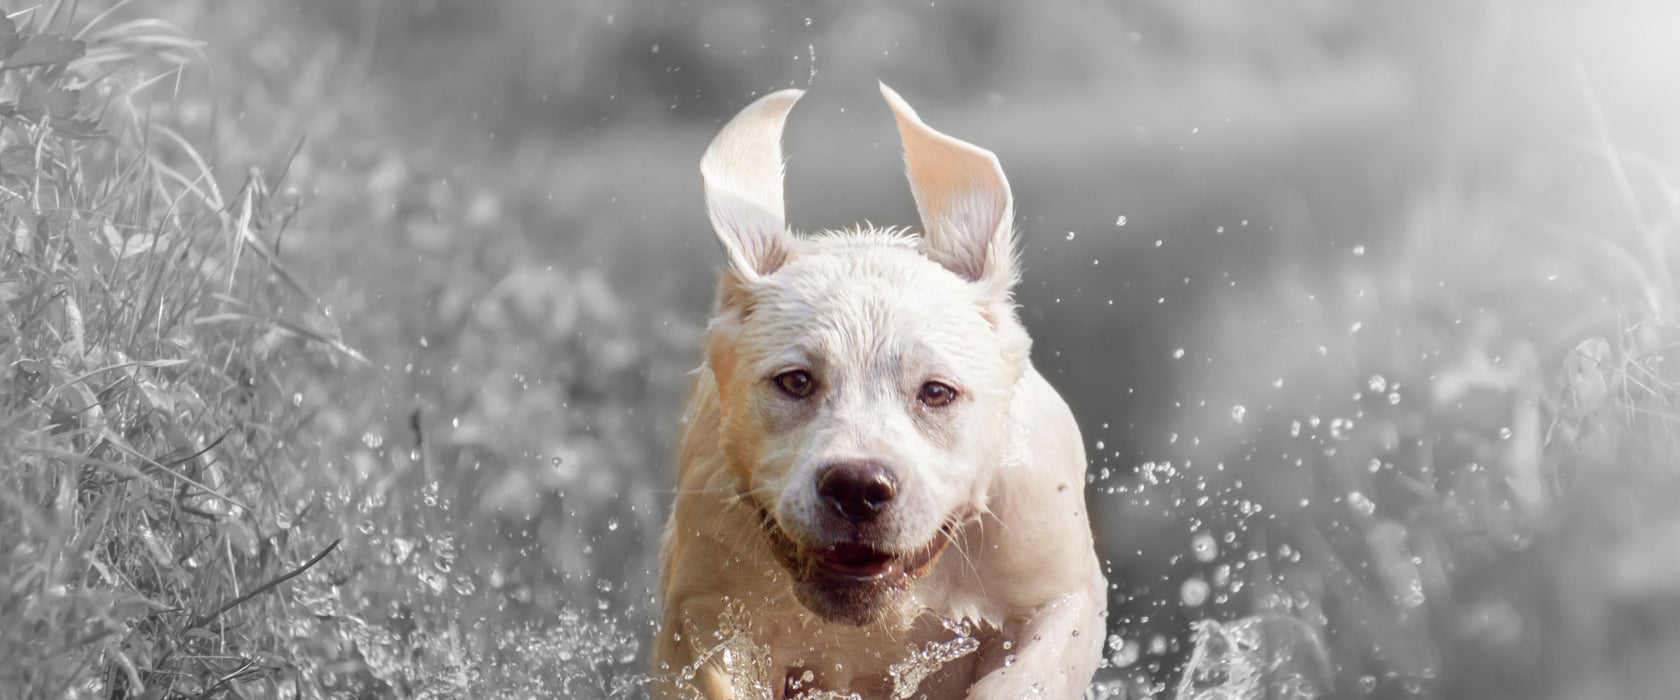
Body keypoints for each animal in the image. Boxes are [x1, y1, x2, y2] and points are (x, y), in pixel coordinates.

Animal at [648, 84, 1108, 694]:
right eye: (795, 381)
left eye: (936, 392)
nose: (857, 487)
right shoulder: (707, 607)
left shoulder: (1057, 593)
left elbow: (1020, 678)